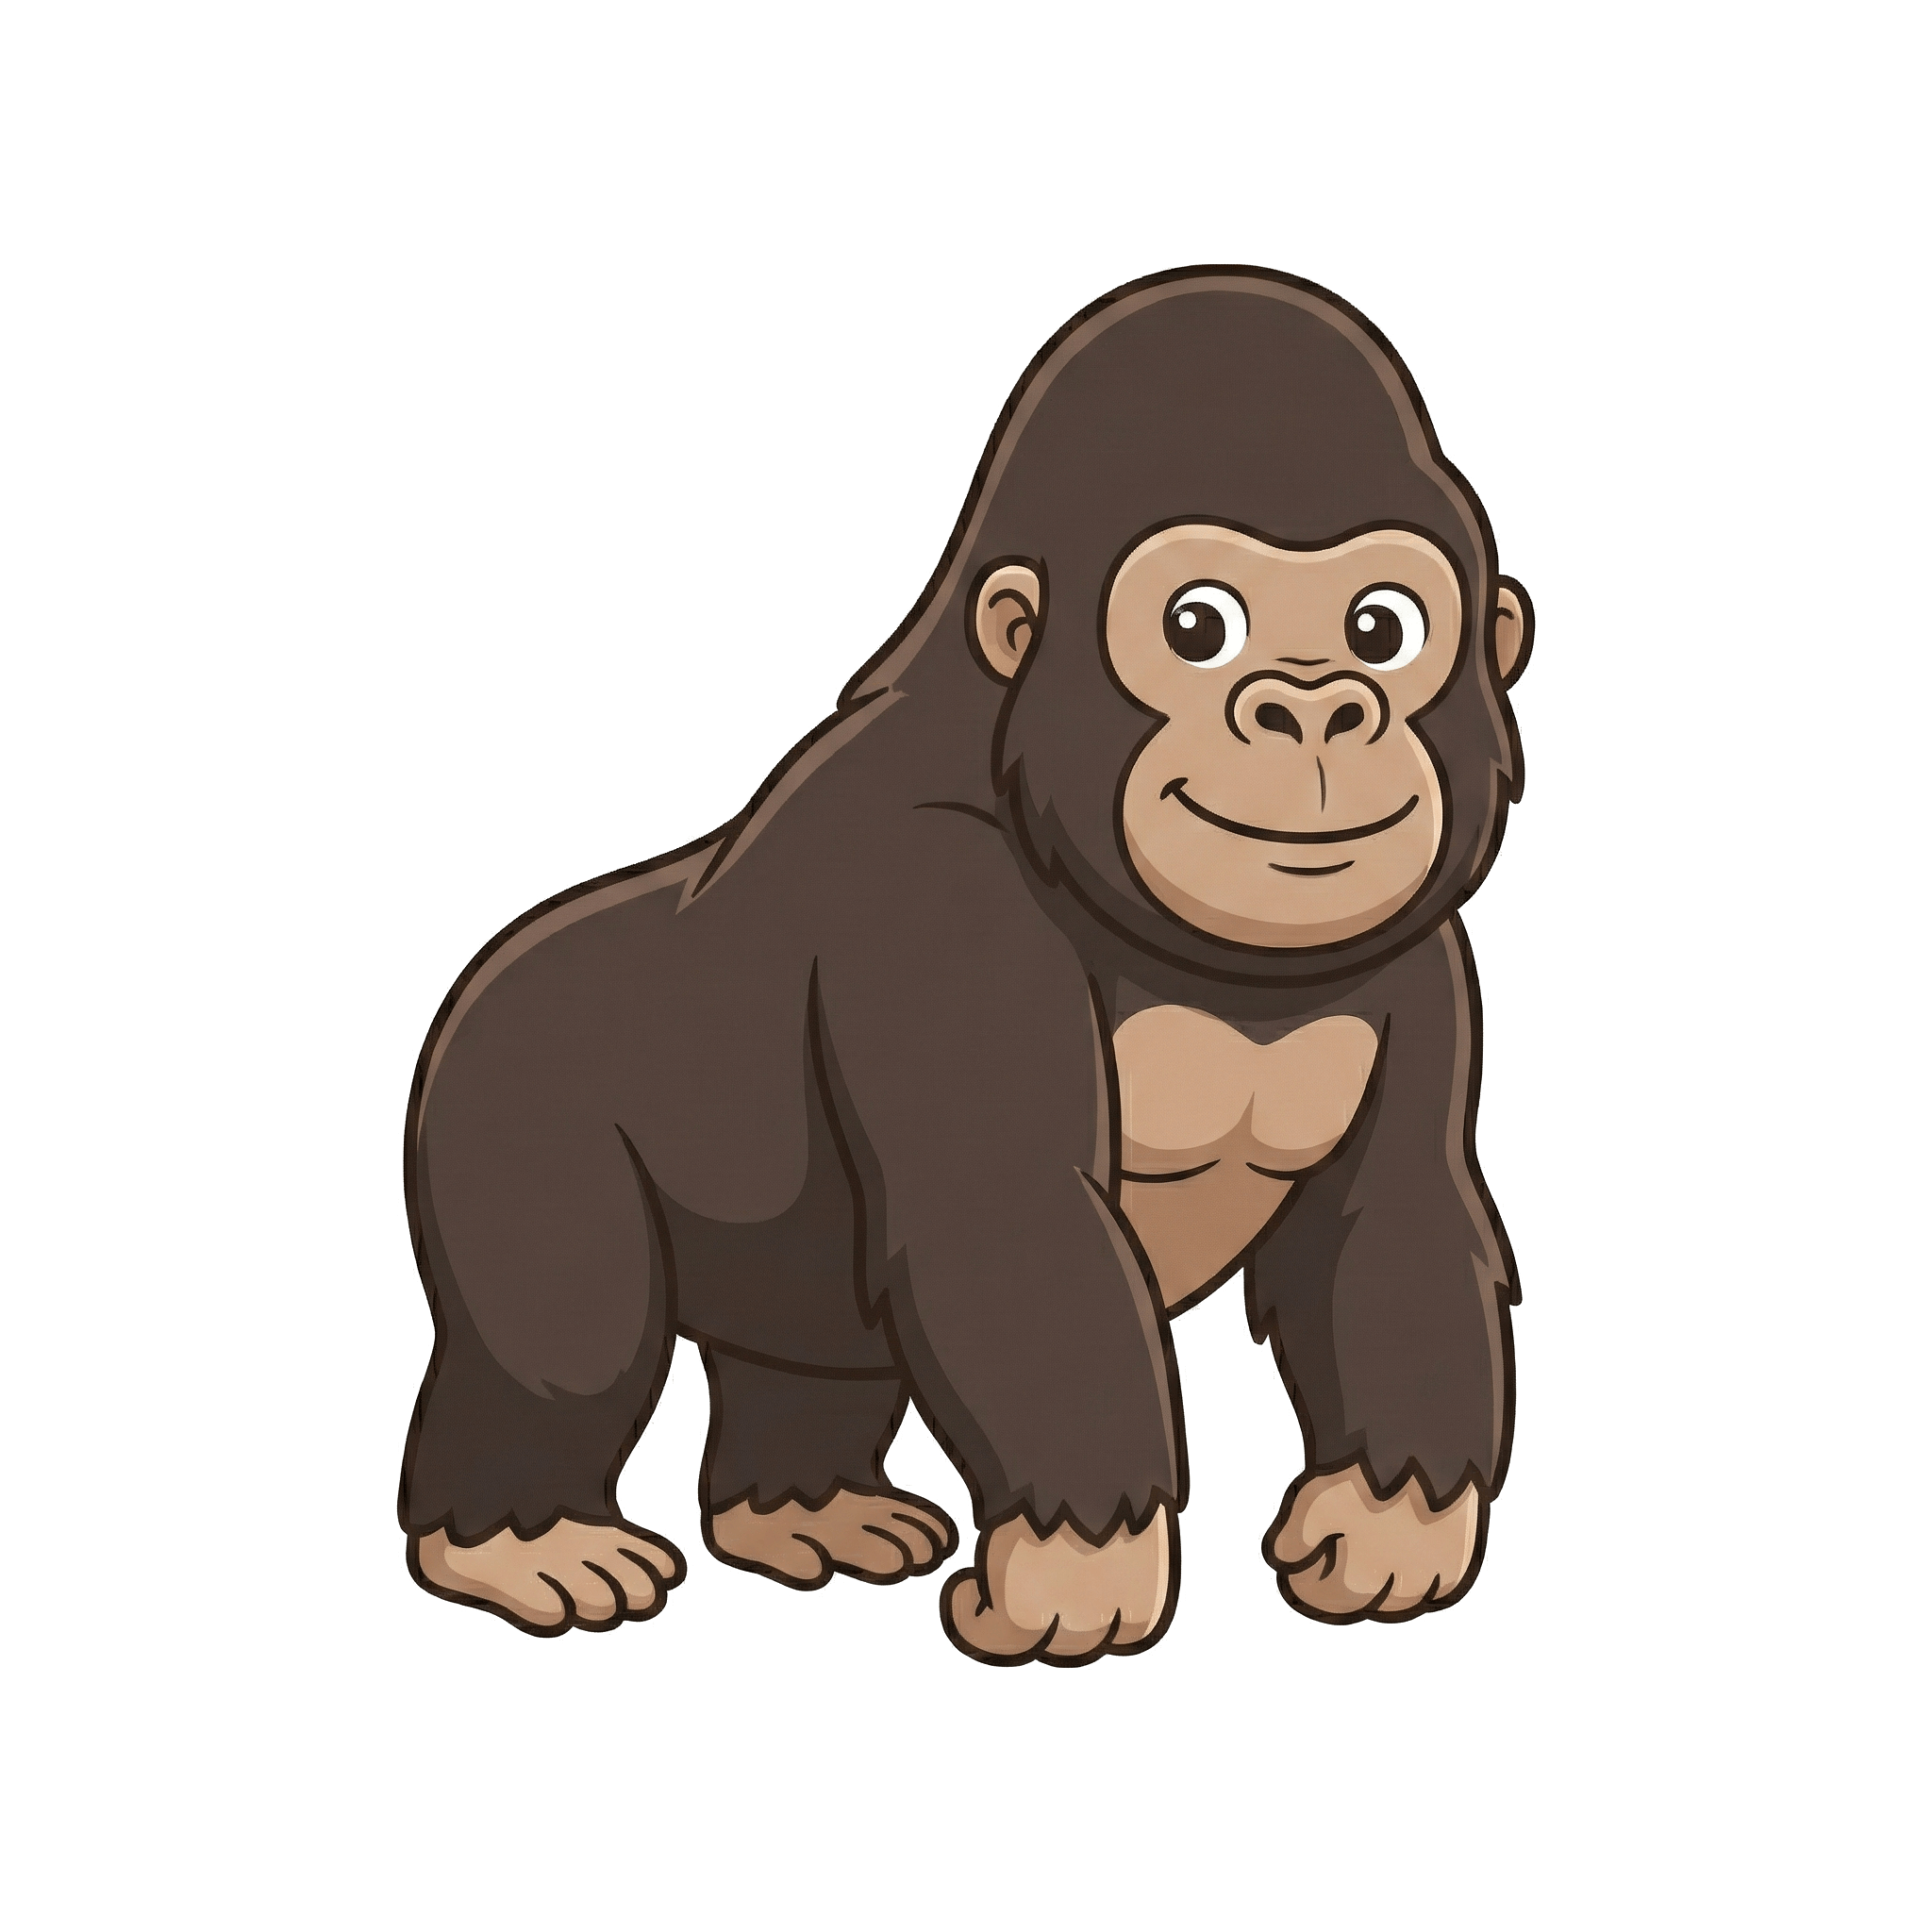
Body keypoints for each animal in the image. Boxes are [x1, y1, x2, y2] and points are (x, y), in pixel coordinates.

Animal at [399, 267, 1532, 1660]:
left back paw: (805, 1507)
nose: (1316, 703)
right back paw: (521, 1537)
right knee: (567, 1325)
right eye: (1197, 627)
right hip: (505, 1096)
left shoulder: (1425, 955)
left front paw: (1391, 1521)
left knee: (807, 1347)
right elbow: (1012, 1227)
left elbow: (1393, 1221)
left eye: (1383, 627)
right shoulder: (933, 901)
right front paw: (1079, 1566)